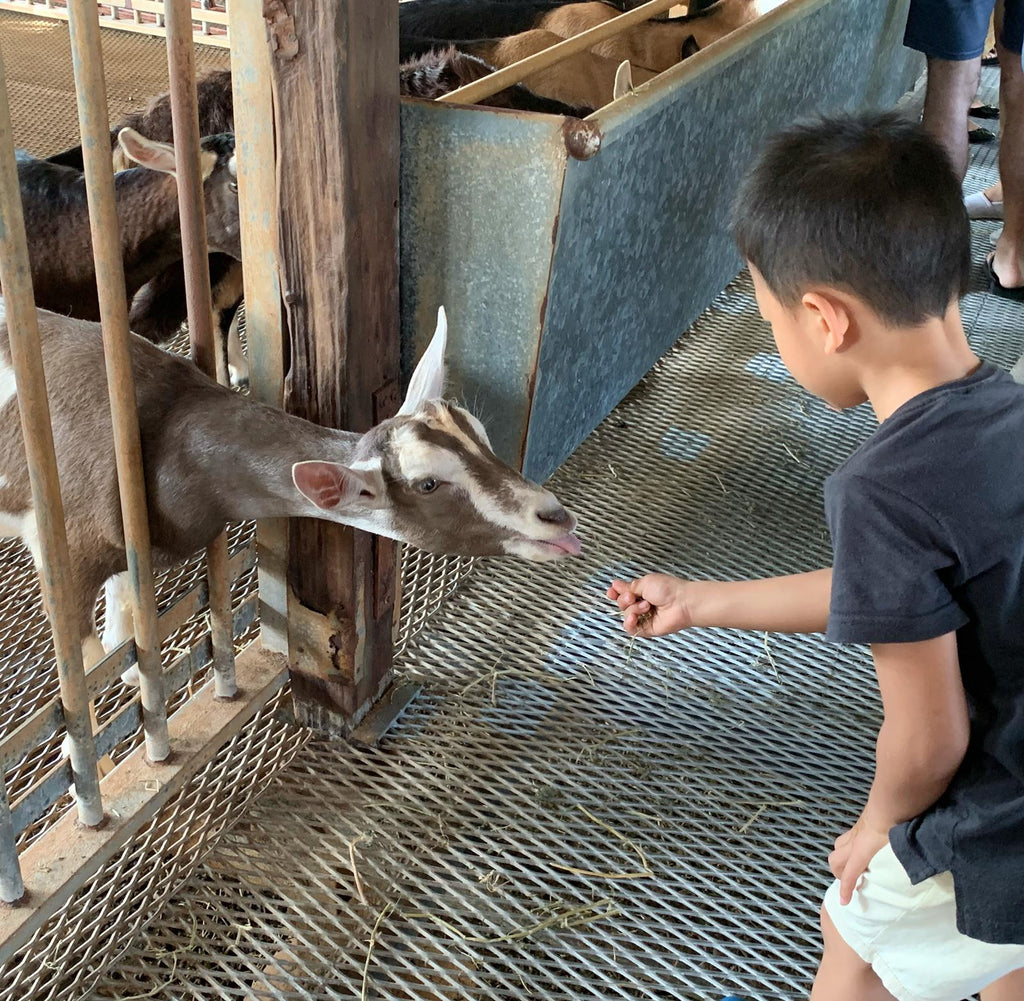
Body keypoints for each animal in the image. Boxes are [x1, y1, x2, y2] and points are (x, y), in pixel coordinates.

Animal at [0, 302, 577, 679]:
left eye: (480, 435)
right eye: (428, 483)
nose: (554, 517)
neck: (164, 431)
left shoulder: (130, 553)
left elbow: (125, 640)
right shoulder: (64, 553)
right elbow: (87, 677)